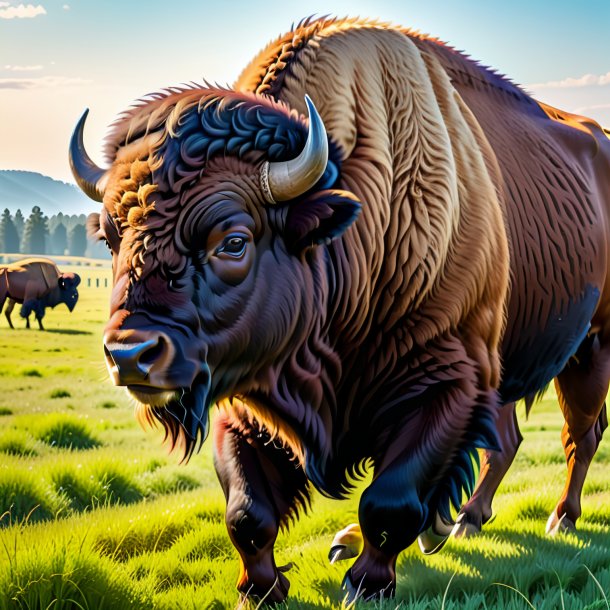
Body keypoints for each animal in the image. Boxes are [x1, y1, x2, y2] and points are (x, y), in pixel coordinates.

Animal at [69, 16, 608, 600]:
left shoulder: (448, 384)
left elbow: (390, 501)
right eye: (109, 237)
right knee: (507, 441)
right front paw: (260, 589)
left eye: (233, 241)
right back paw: (458, 522)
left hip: (591, 346)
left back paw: (559, 518)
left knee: (579, 434)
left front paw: (365, 583)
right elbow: (247, 512)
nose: (130, 355)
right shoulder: (245, 392)